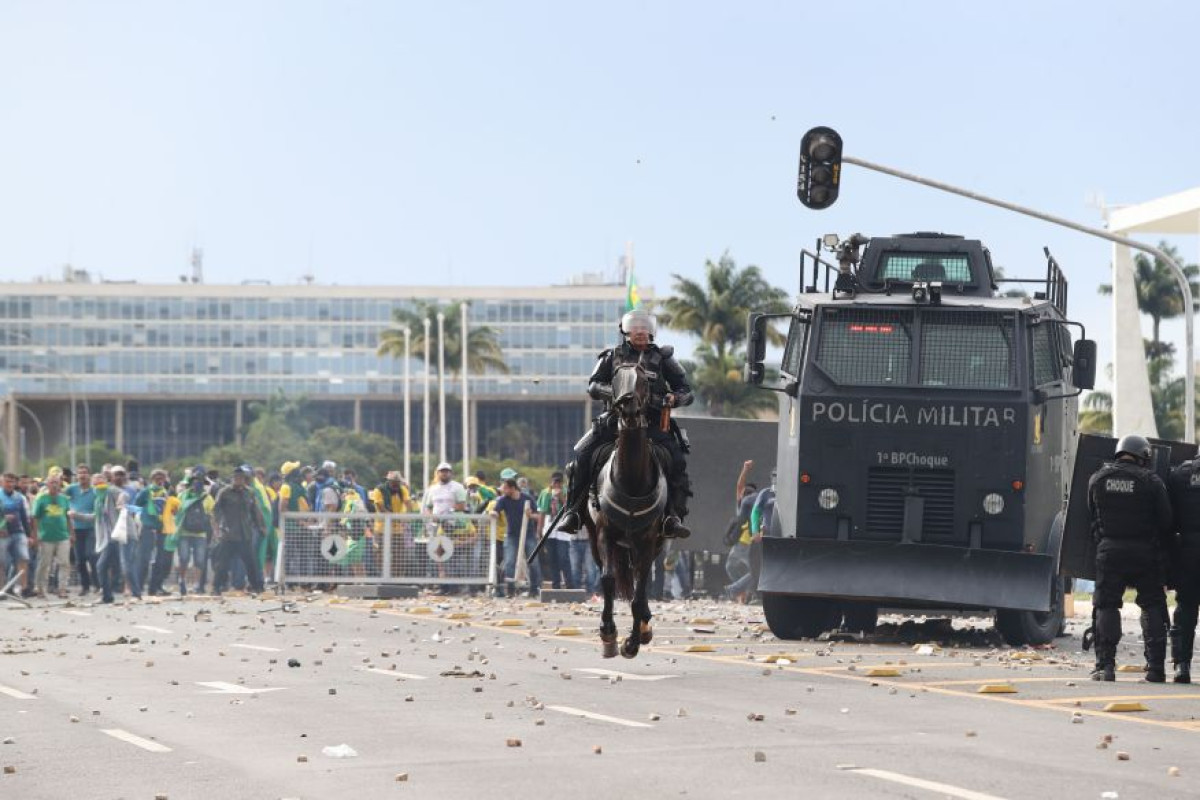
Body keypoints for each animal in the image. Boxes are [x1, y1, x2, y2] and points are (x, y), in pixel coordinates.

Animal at [583, 362, 672, 657]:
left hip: (654, 543)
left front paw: (633, 641)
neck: (632, 480)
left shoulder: (648, 541)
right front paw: (608, 633)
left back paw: (644, 625)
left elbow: (639, 592)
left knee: (639, 587)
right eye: (615, 379)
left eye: (644, 381)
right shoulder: (604, 535)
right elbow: (608, 579)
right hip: (595, 540)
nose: (629, 410)